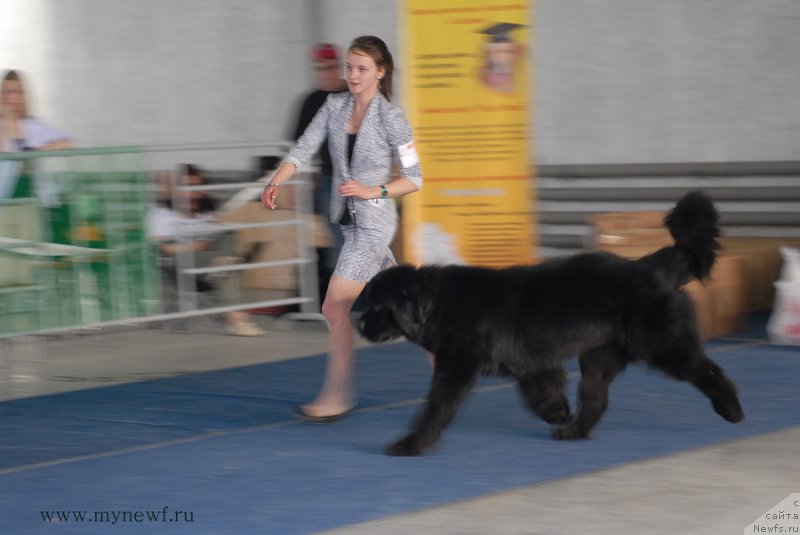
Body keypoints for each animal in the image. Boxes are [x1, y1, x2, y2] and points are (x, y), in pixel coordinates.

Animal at [356, 192, 744, 456]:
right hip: (599, 358)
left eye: (377, 306)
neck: (438, 304)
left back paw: (732, 410)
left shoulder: (458, 366)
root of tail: (652, 267)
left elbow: (436, 408)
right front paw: (558, 413)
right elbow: (541, 395)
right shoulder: (529, 364)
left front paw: (411, 444)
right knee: (595, 400)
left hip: (664, 345)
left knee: (709, 371)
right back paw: (572, 432)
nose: (358, 324)